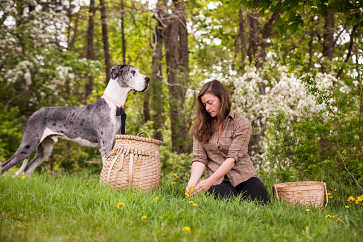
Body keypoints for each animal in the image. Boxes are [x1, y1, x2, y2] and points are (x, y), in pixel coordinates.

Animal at [1, 64, 149, 176]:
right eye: (133, 72)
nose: (147, 79)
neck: (114, 105)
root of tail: (33, 114)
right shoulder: (105, 145)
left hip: (45, 149)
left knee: (28, 169)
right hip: (28, 144)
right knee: (5, 165)